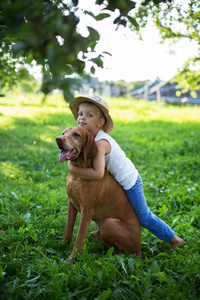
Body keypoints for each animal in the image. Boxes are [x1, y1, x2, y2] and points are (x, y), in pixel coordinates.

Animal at [55, 126, 141, 262]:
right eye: (63, 133)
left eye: (76, 134)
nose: (58, 139)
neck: (77, 175)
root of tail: (139, 248)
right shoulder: (71, 204)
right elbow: (68, 229)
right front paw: (62, 246)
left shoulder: (87, 212)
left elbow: (79, 239)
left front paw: (71, 260)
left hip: (108, 223)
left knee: (118, 253)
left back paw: (95, 256)